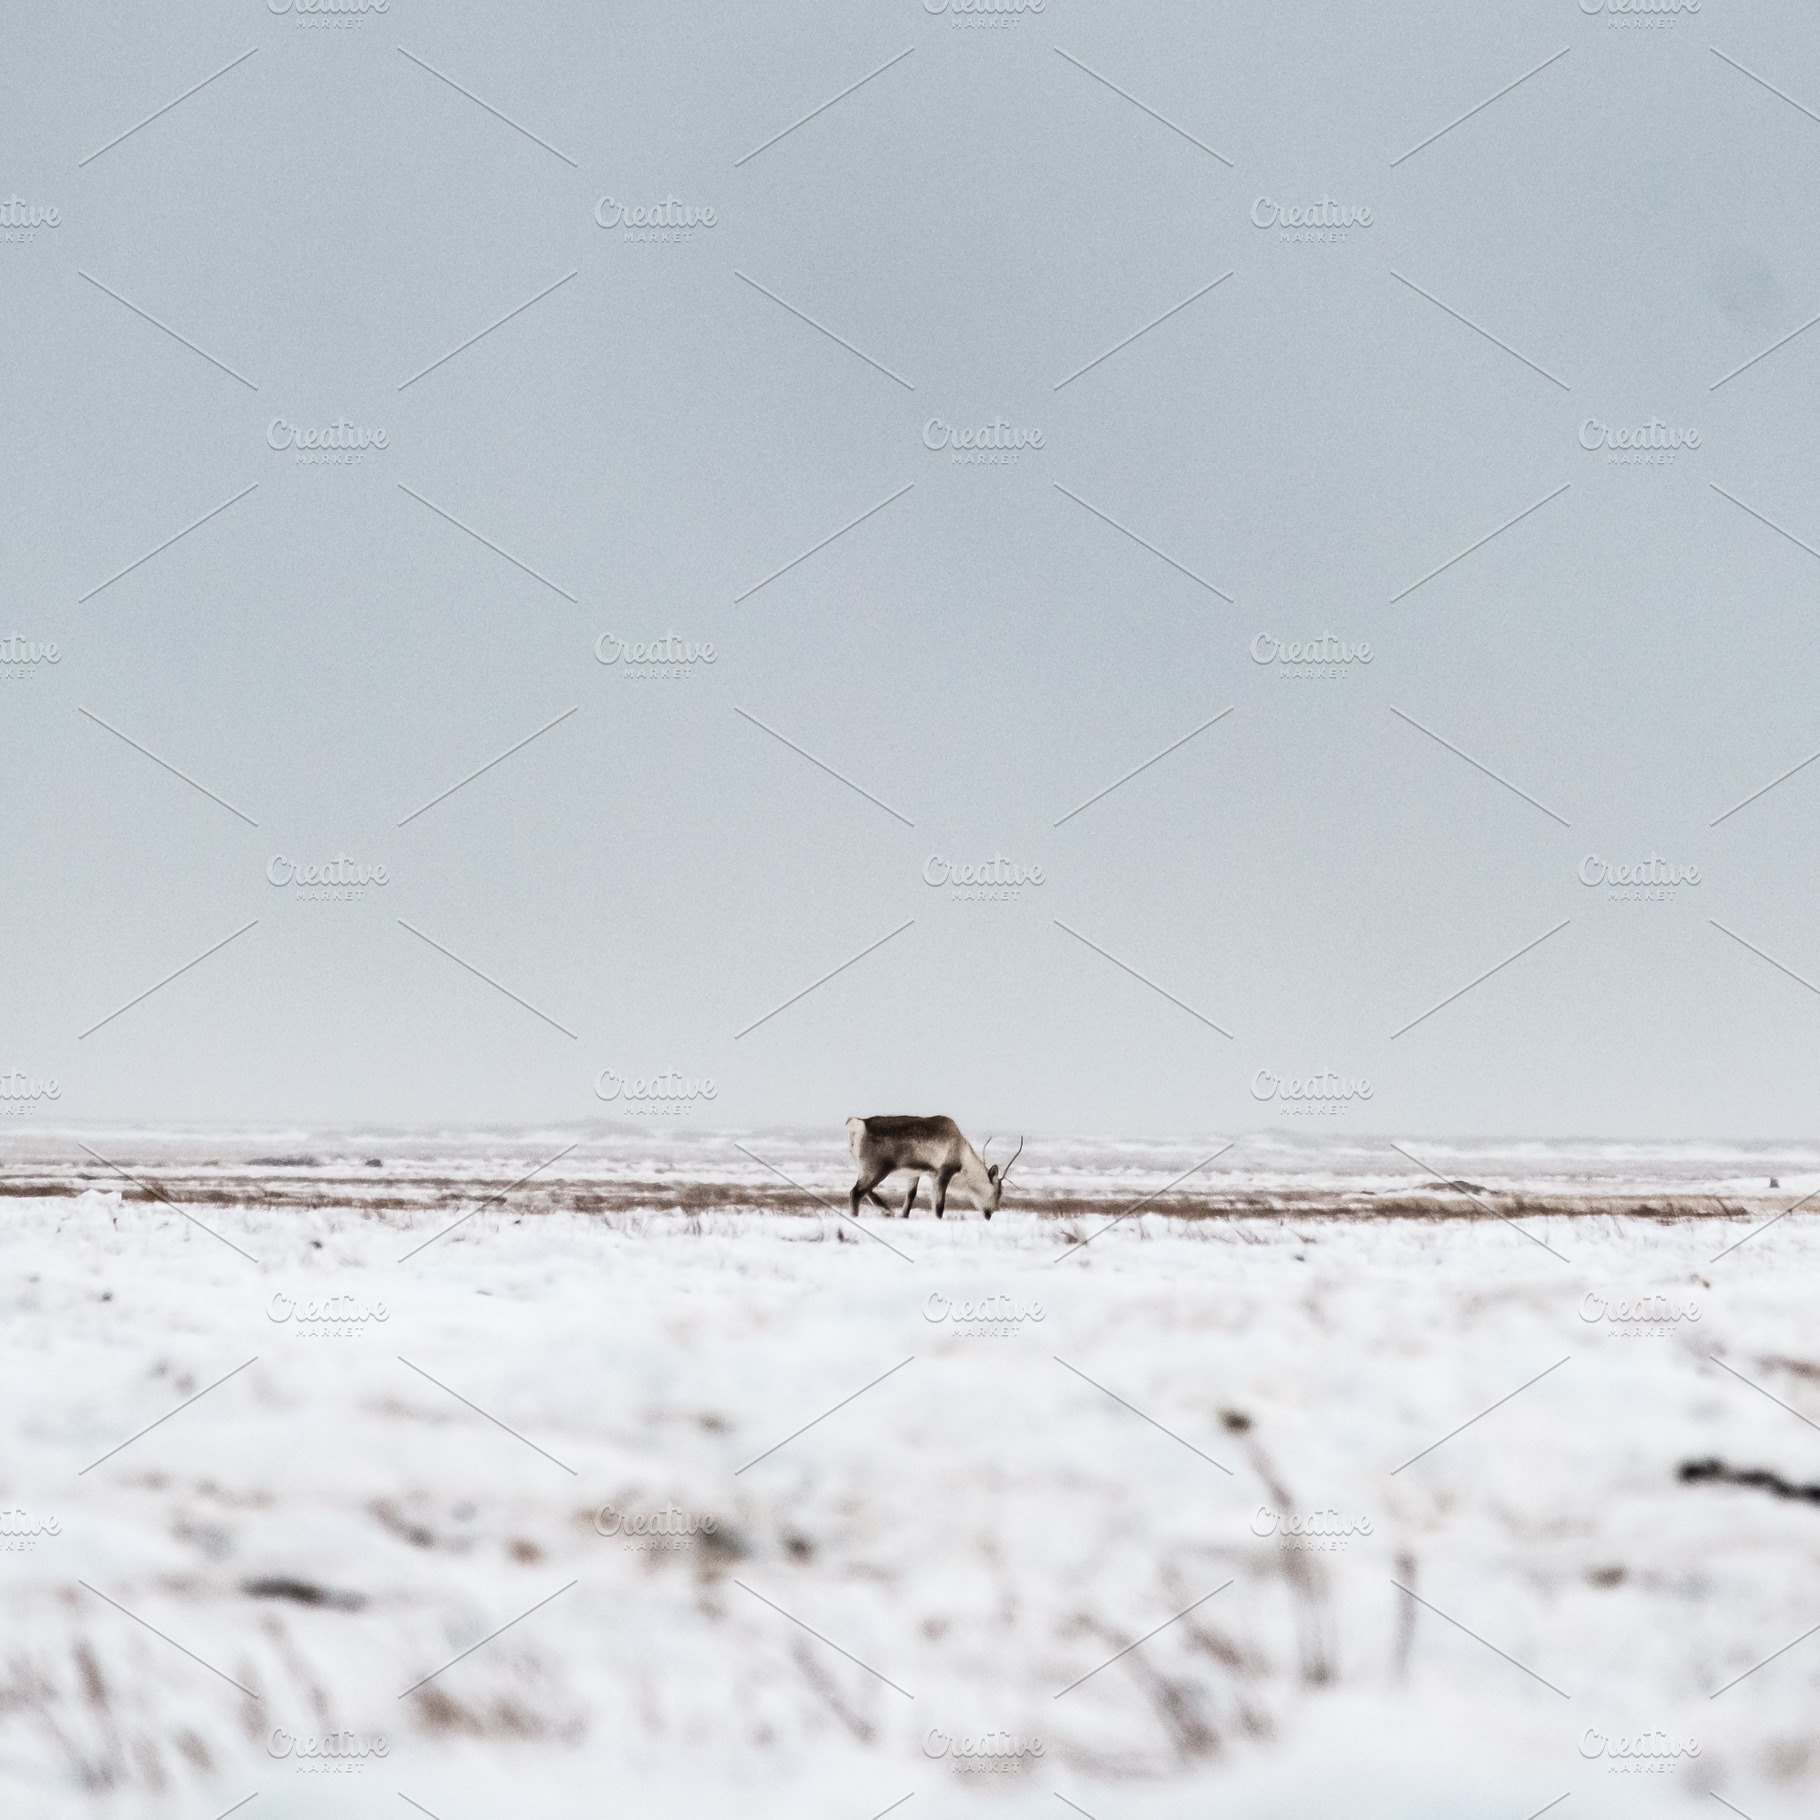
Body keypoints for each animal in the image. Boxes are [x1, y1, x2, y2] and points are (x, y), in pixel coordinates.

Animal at [846, 1116, 1022, 1221]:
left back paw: (887, 1210)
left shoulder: (915, 1174)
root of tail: (858, 1124)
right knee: (856, 1193)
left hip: (866, 1170)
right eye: (999, 1191)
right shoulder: (943, 1173)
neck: (962, 1153)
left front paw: (903, 1216)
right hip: (877, 1170)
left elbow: (910, 1198)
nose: (991, 1213)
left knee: (865, 1191)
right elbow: (938, 1206)